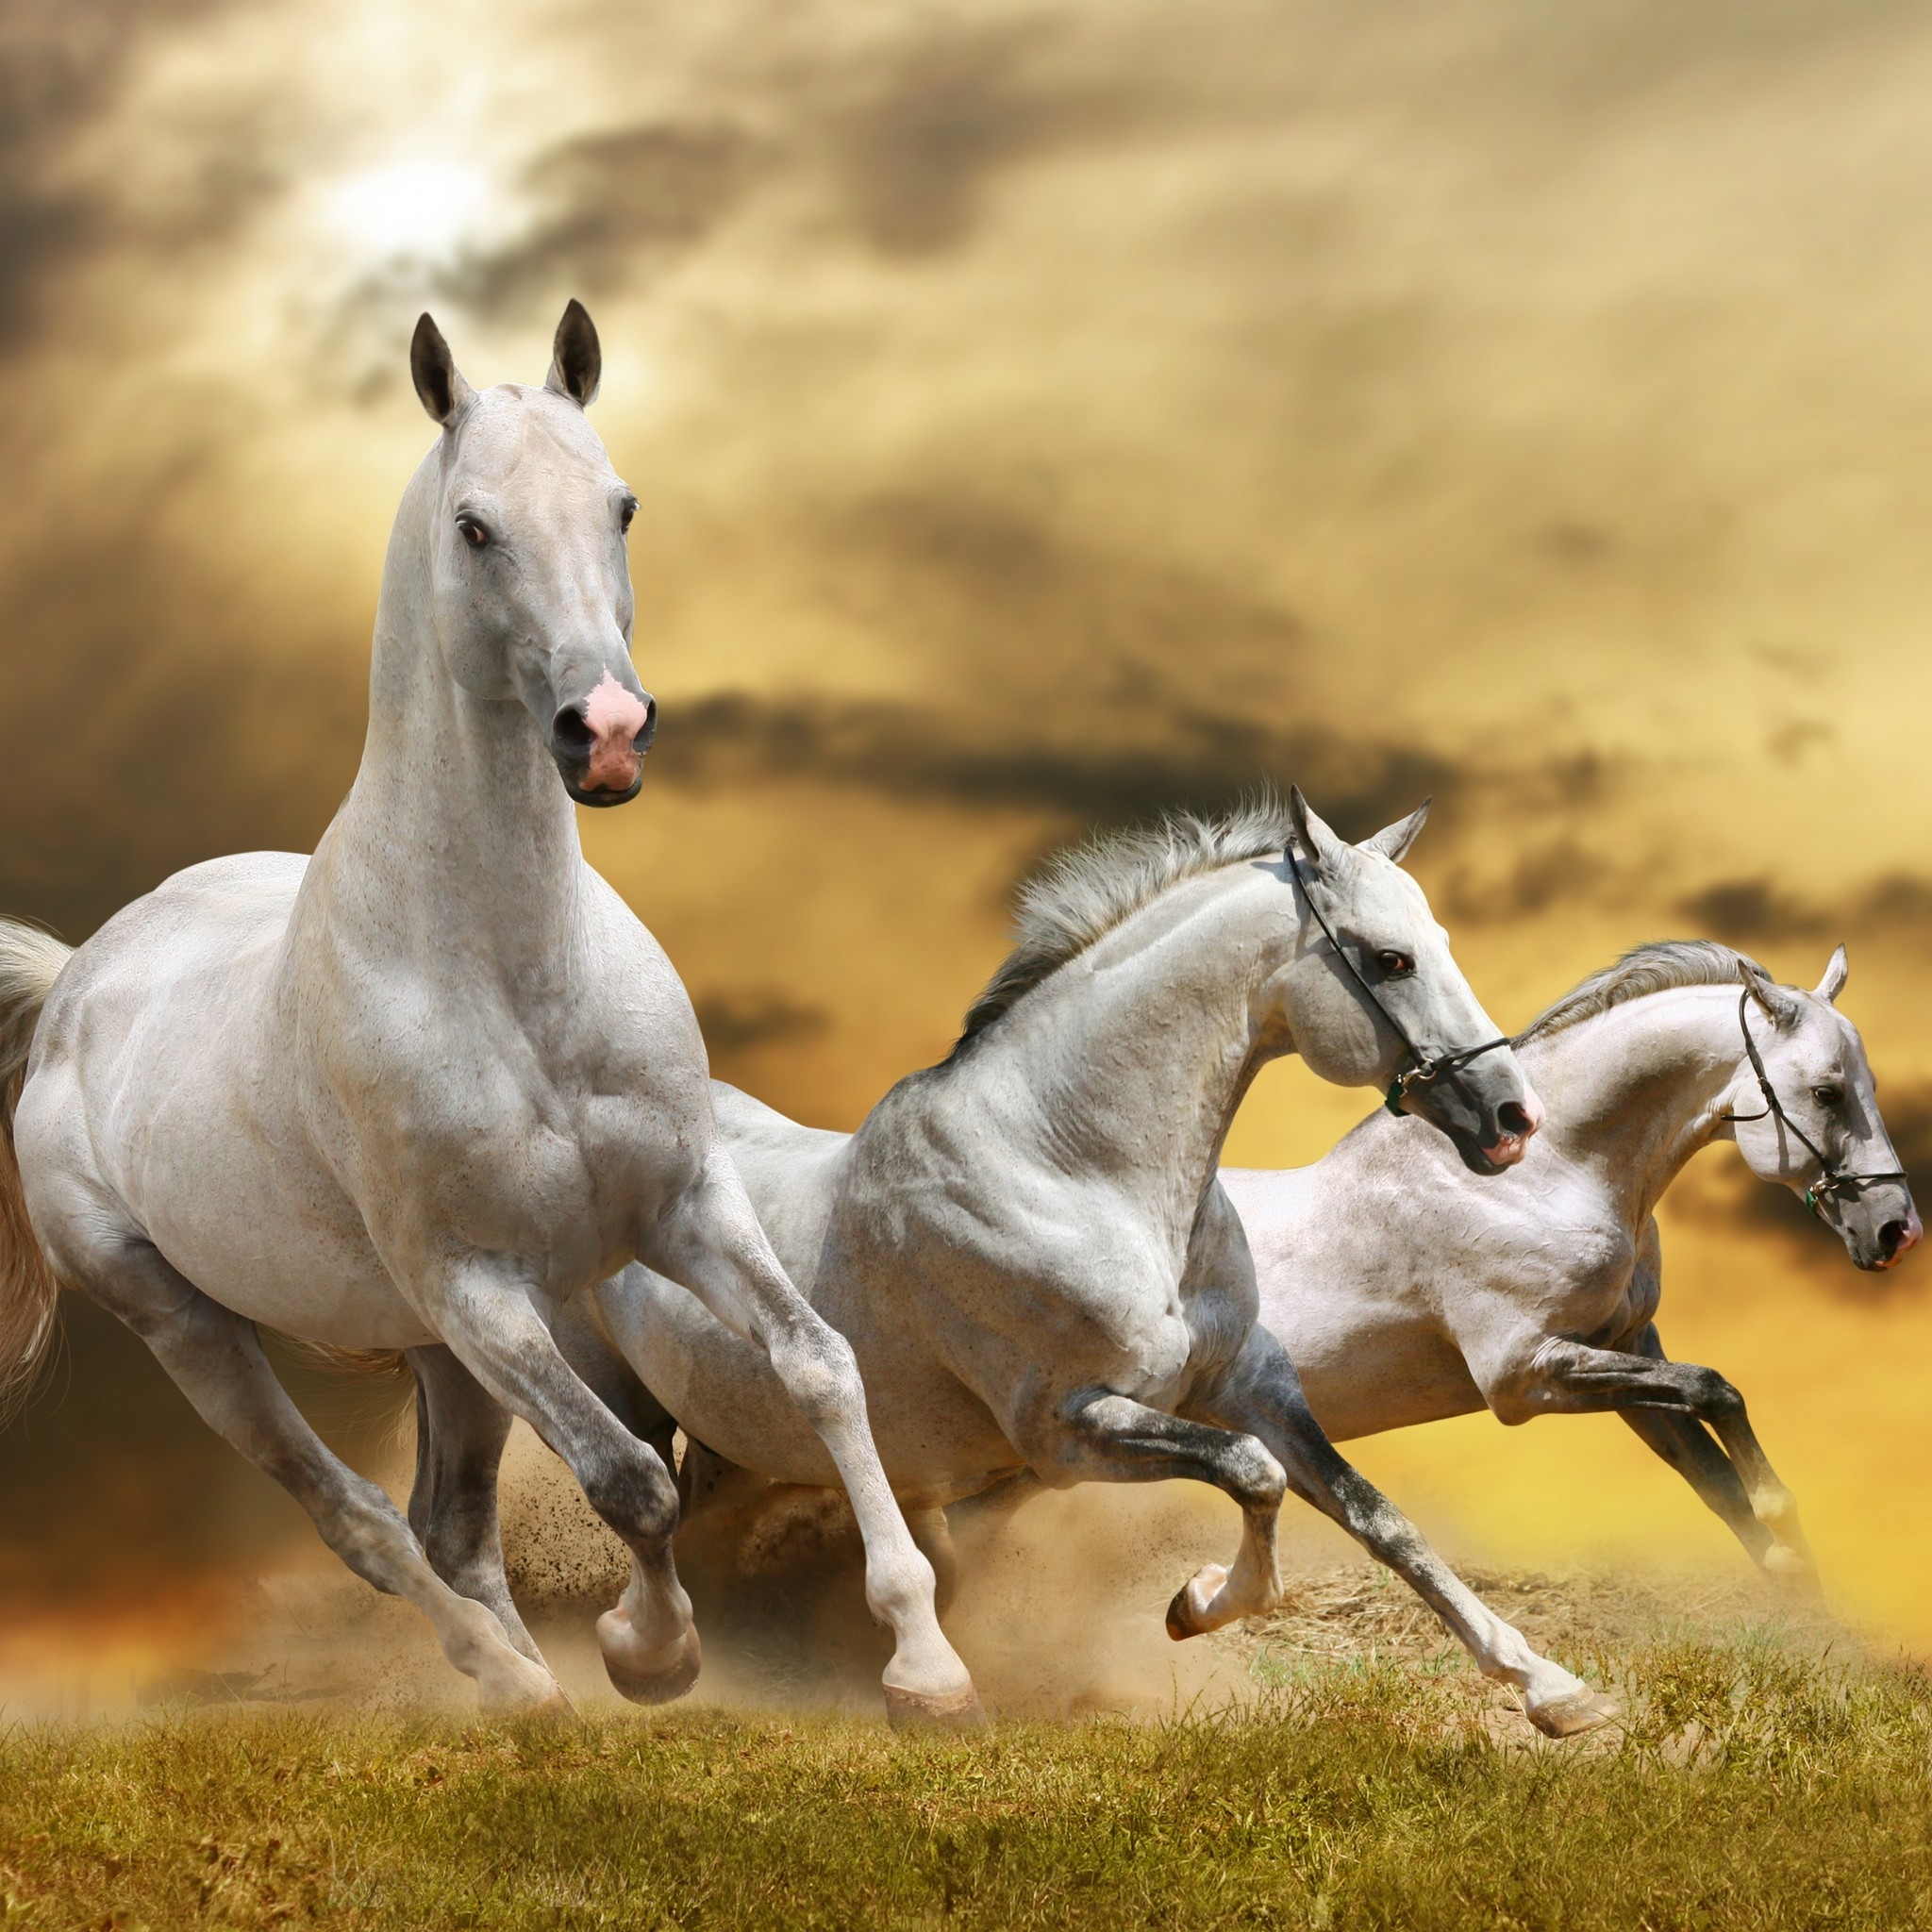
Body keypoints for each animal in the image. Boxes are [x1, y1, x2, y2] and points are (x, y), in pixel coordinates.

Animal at [0, 304, 976, 1723]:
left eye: (622, 505)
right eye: (473, 525)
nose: (606, 732)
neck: (518, 982)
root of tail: (78, 976)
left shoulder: (680, 1208)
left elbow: (817, 1365)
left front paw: (924, 1658)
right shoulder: (481, 1287)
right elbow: (634, 1475)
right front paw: (649, 1652)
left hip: (436, 1355)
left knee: (448, 1523)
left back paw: (530, 1689)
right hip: (198, 1327)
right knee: (359, 1520)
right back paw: (514, 1679)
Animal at [424, 791, 1628, 1735]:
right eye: (1388, 956)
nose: (1511, 1119)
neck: (1072, 1167)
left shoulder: (1248, 1380)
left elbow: (1377, 1516)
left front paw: (1554, 1690)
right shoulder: (1066, 1427)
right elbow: (1251, 1475)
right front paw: (1197, 1601)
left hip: (740, 1438)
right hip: (606, 1385)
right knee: (626, 1497)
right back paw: (648, 1656)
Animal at [1223, 940, 1920, 1583]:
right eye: (1826, 1093)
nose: (1898, 1231)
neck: (1543, 1177)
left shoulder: (1625, 1350)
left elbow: (1721, 1486)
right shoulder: (1524, 1373)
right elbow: (1716, 1392)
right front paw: (1784, 1525)